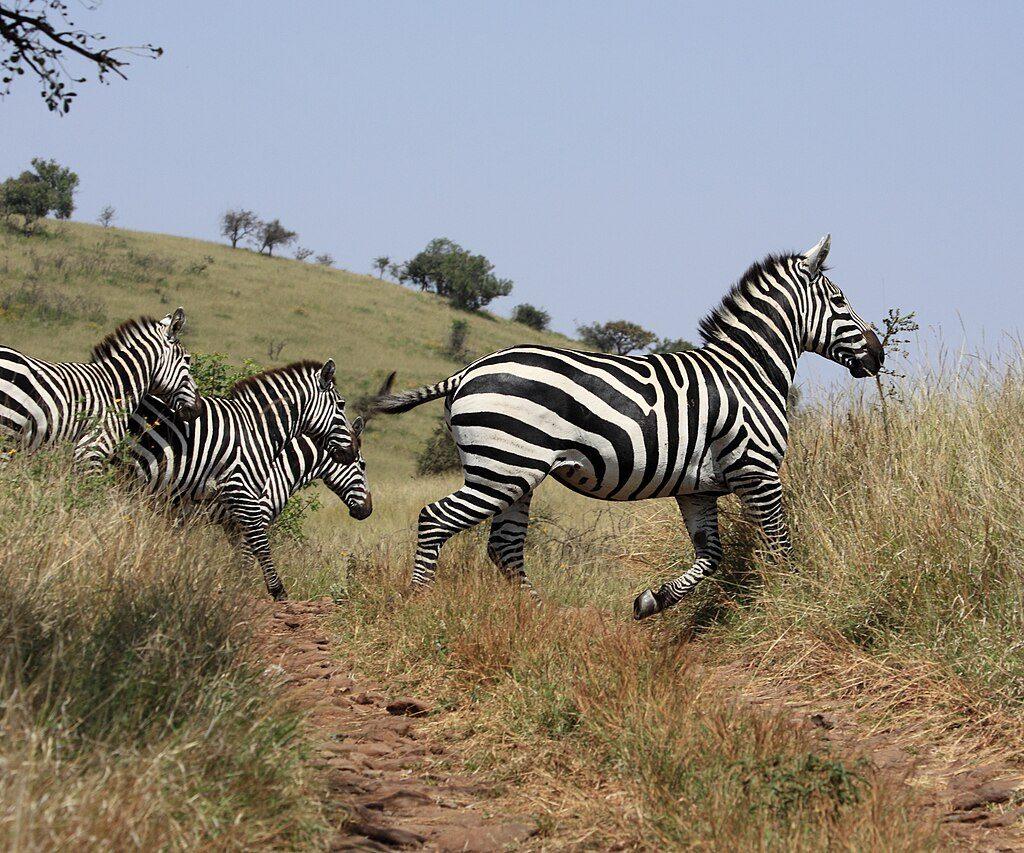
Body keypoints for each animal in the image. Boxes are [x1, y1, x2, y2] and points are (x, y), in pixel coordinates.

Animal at [127, 359, 357, 600]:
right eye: (341, 405)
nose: (365, 511)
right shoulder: (250, 505)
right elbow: (255, 550)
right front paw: (259, 589)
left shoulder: (231, 522)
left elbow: (240, 556)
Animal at [373, 236, 885, 619]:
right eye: (840, 301)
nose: (879, 355)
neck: (747, 371)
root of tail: (466, 371)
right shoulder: (758, 471)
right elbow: (781, 546)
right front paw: (795, 601)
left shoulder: (698, 488)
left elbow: (711, 556)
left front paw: (651, 601)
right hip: (503, 468)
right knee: (435, 519)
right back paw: (417, 603)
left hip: (514, 473)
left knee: (505, 547)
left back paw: (543, 616)